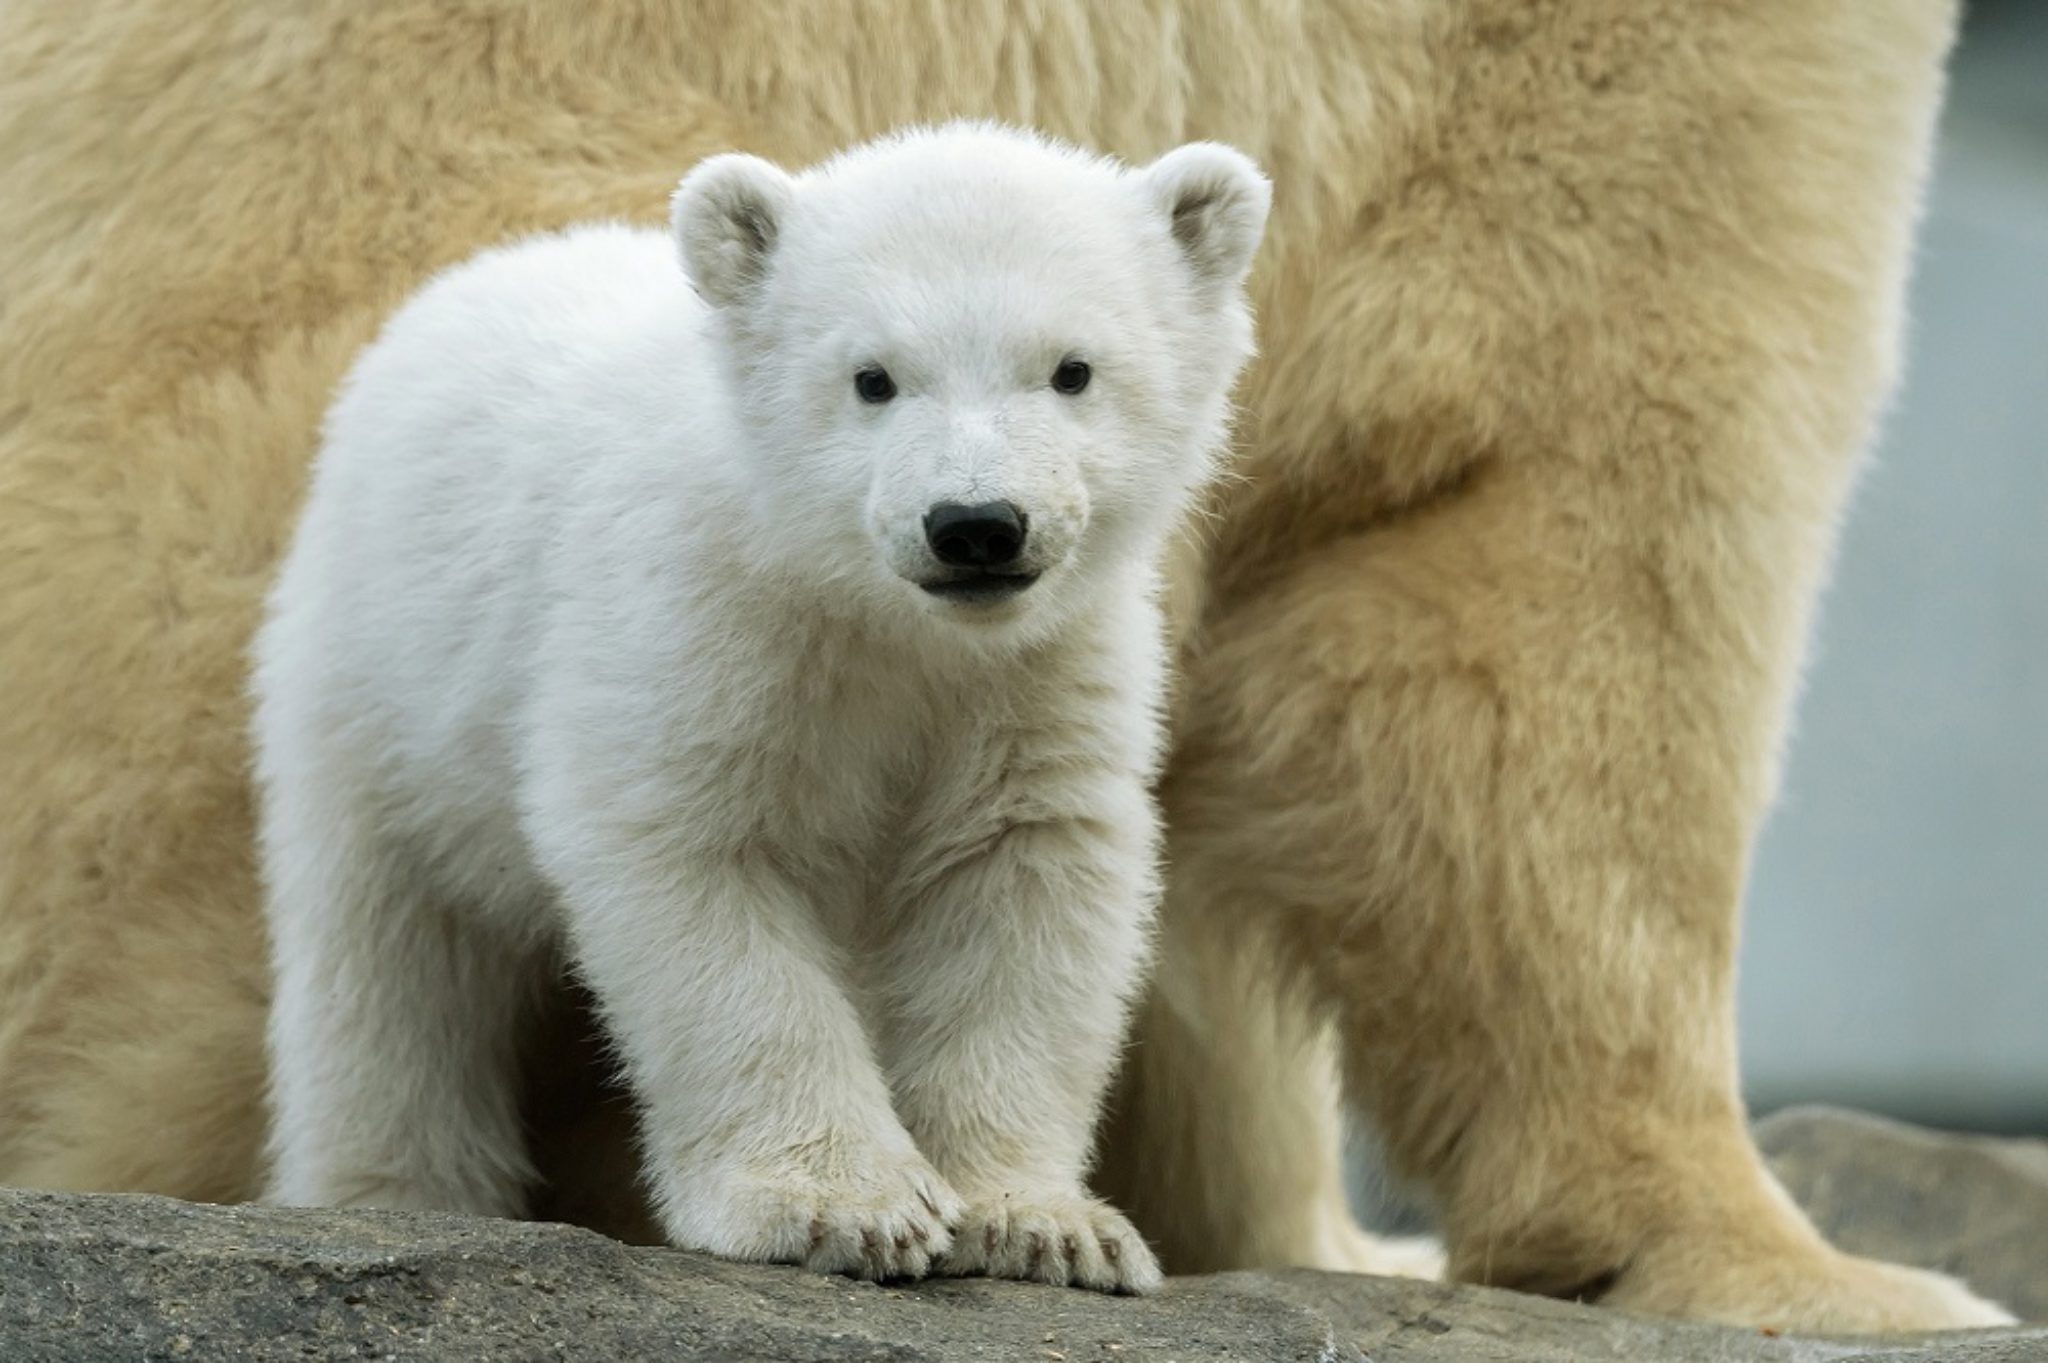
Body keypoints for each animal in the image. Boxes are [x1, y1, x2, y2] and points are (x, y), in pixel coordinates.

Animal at [0, 0, 1998, 1326]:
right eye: (868, 380)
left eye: (1074, 371)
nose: (975, 526)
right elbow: (1571, 541)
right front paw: (1823, 1267)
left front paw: (1081, 1216)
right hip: (338, 671)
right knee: (368, 936)